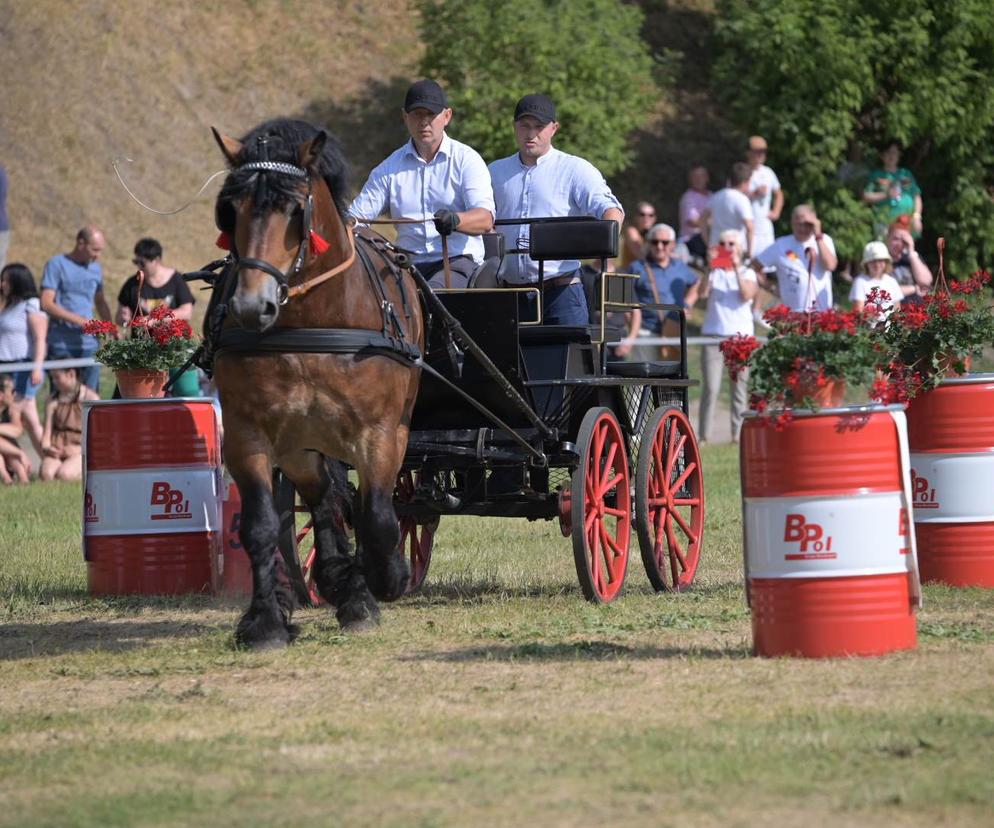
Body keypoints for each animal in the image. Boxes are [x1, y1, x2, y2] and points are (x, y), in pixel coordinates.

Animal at [211, 118, 420, 648]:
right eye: (230, 210)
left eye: (294, 210)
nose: (251, 306)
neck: (311, 323)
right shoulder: (247, 434)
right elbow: (261, 526)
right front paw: (265, 620)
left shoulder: (379, 434)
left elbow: (379, 518)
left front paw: (389, 577)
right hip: (301, 444)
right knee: (326, 502)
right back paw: (341, 586)